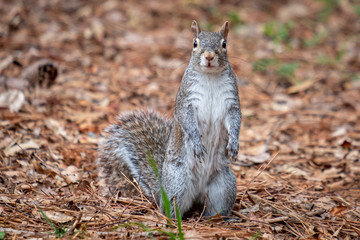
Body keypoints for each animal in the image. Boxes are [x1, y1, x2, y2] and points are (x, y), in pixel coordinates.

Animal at [97, 20, 240, 218]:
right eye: (195, 43)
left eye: (224, 44)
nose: (209, 56)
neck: (210, 77)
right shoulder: (185, 101)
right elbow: (187, 121)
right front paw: (197, 142)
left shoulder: (231, 101)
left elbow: (235, 120)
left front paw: (234, 143)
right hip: (177, 183)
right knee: (169, 207)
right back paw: (172, 219)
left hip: (224, 185)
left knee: (216, 208)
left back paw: (223, 219)